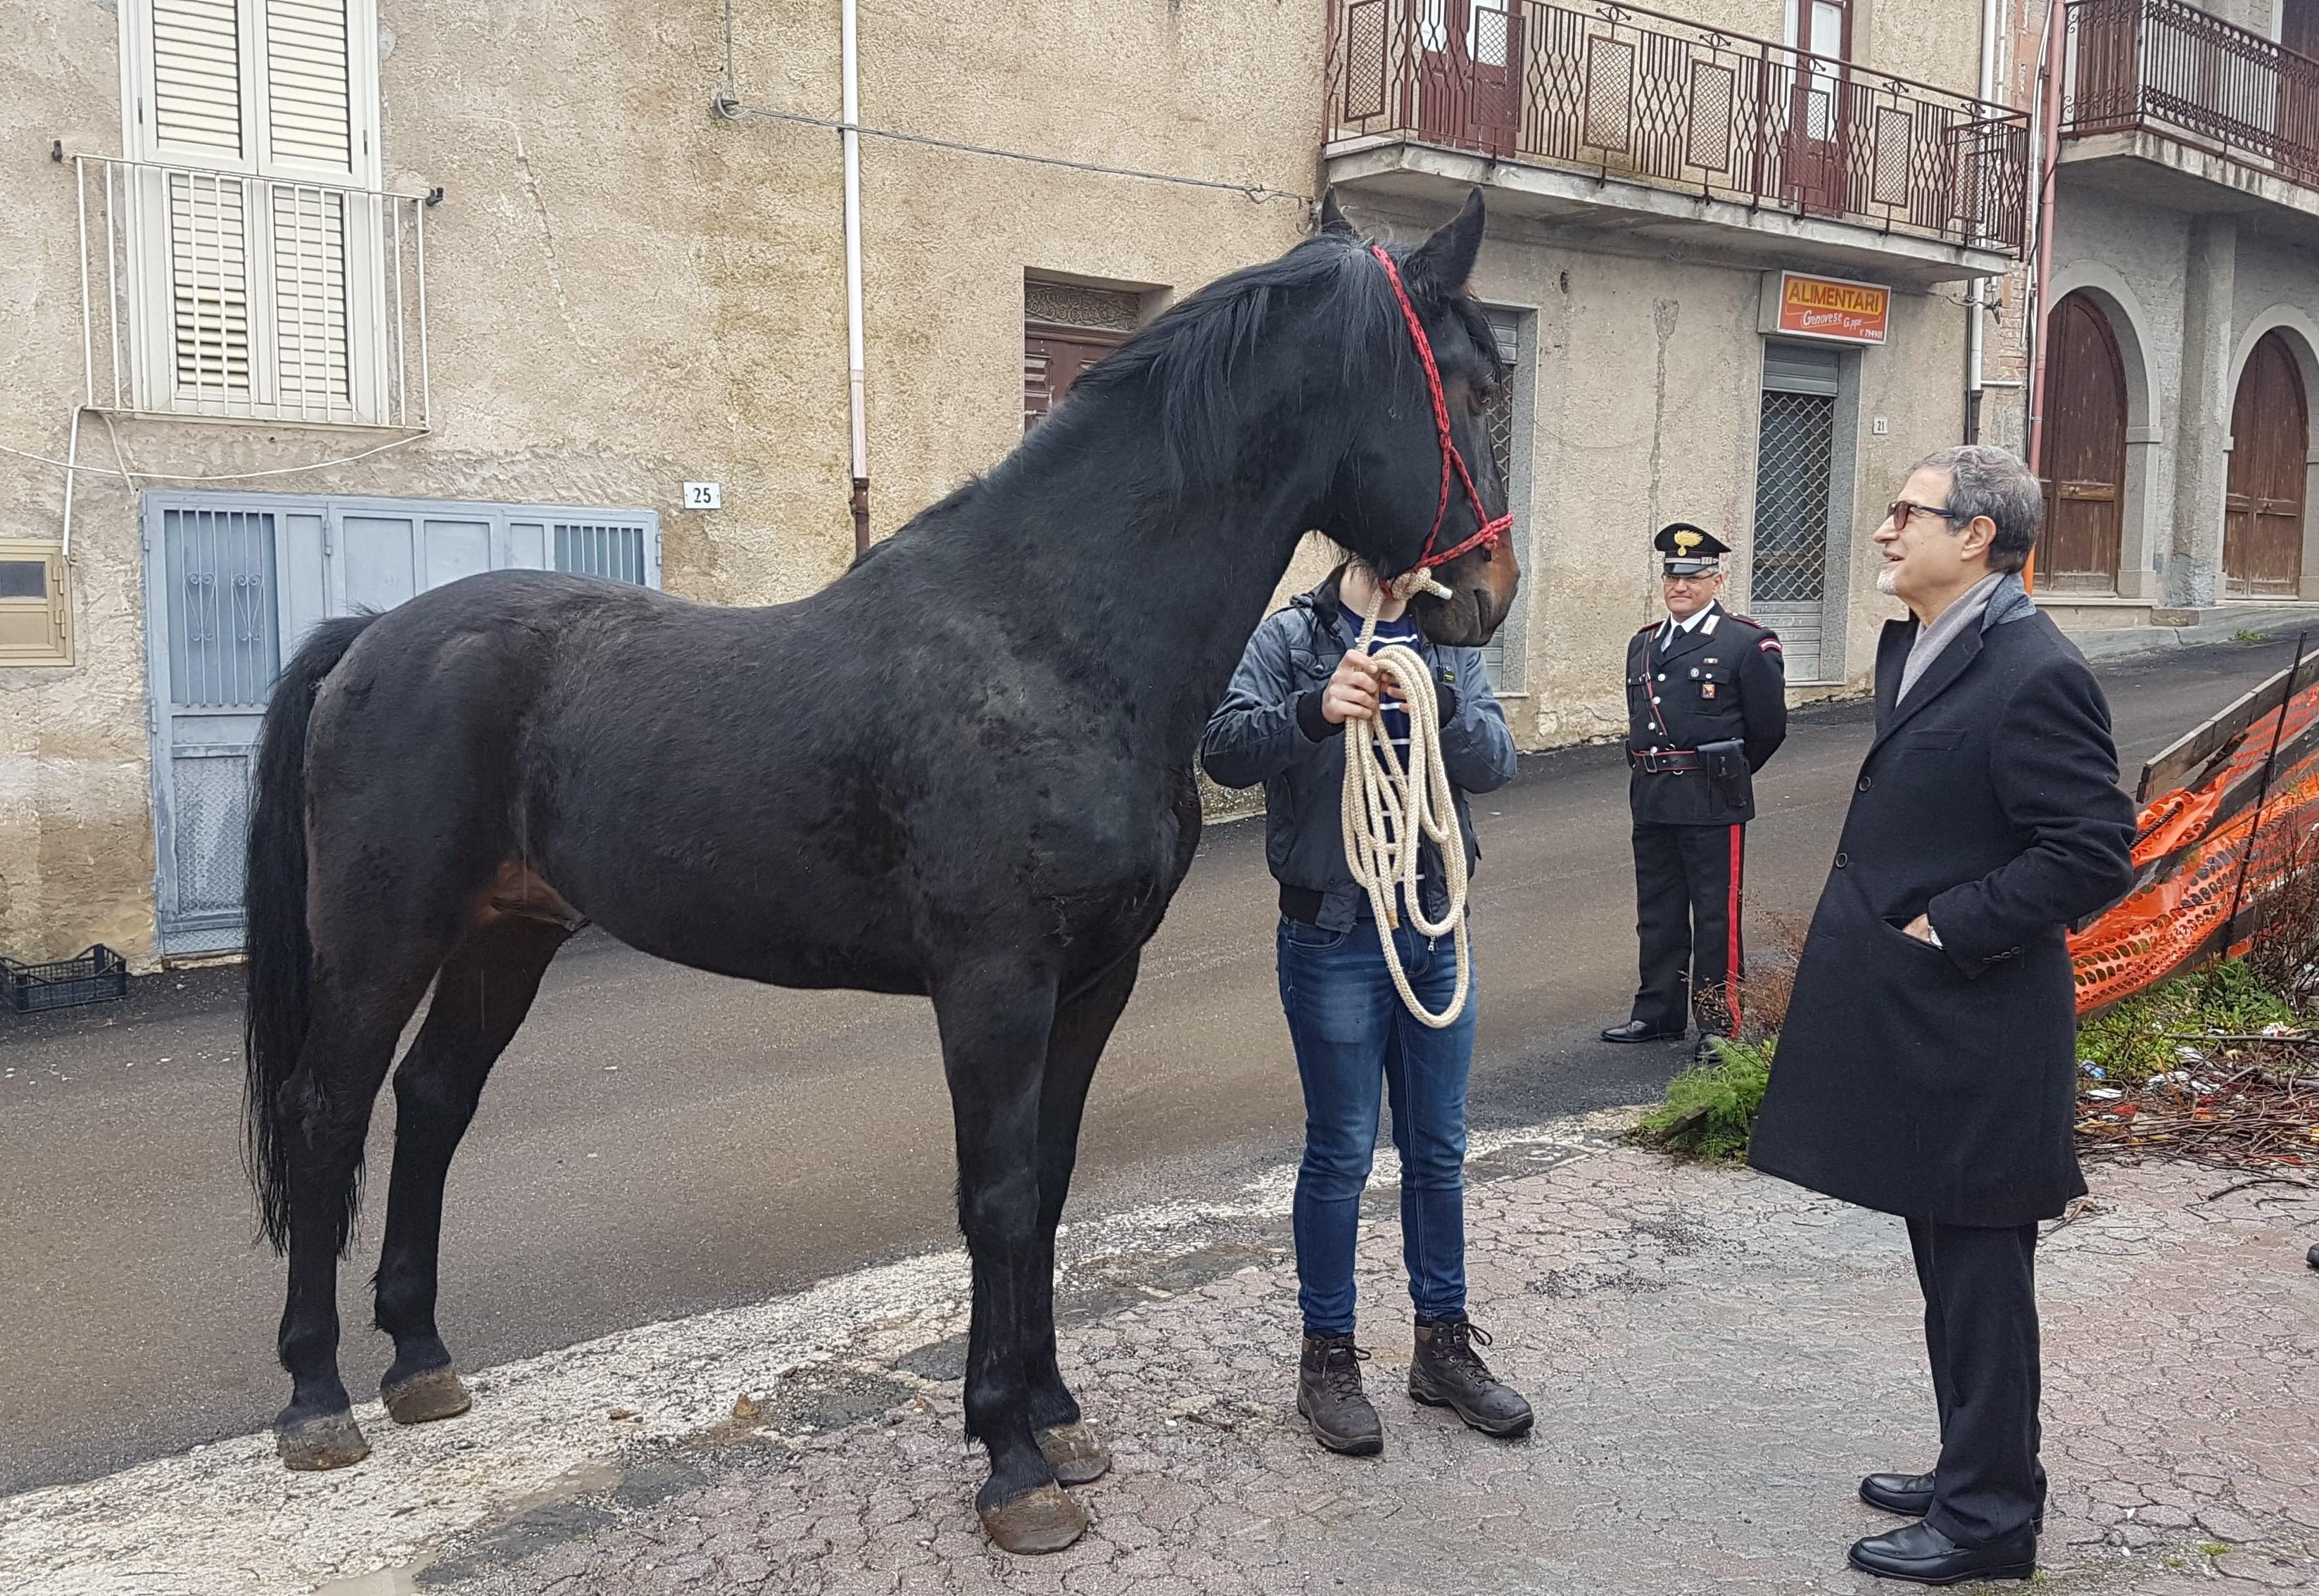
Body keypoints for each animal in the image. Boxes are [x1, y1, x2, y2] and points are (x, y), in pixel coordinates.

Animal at [244, 184, 1521, 1550]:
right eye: (1470, 385)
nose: (1485, 594)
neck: (1049, 641)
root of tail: (370, 635)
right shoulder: (995, 987)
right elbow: (997, 1197)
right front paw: (1011, 1462)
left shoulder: (1093, 983)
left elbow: (1049, 1186)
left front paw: (1060, 1421)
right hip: (383, 934)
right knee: (328, 1110)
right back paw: (317, 1398)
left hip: (507, 932)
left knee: (434, 1100)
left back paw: (421, 1361)